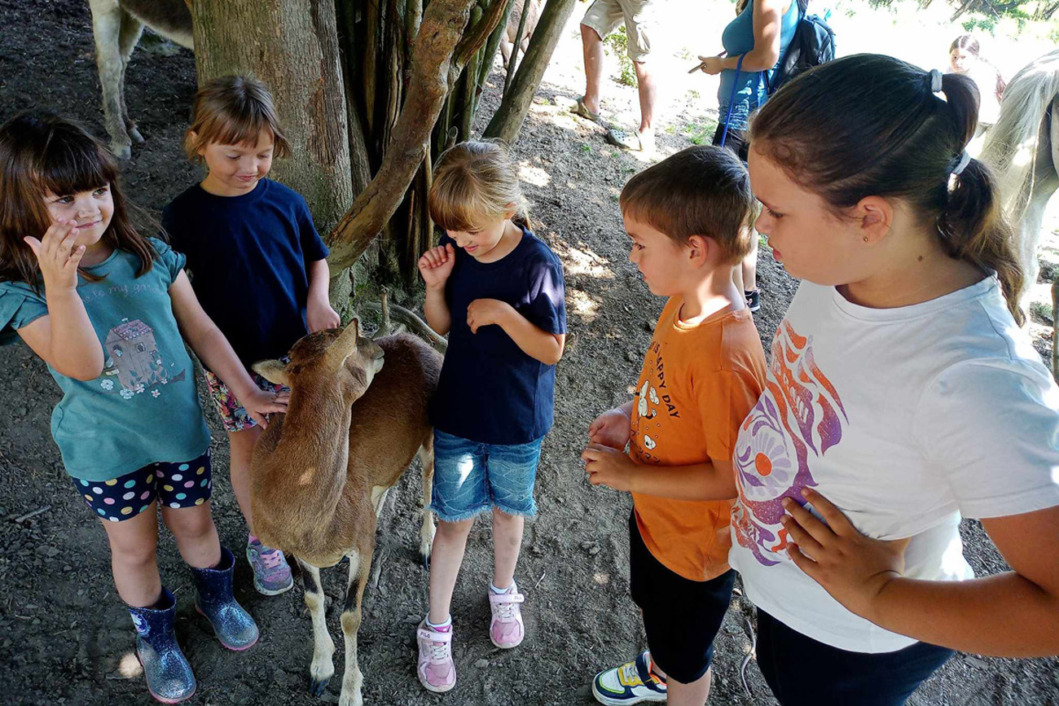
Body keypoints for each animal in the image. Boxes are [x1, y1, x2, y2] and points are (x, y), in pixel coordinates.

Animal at [88, 0, 192, 159]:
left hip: (132, 11)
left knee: (122, 58)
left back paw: (128, 126)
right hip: (105, 6)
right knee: (110, 63)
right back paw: (120, 138)